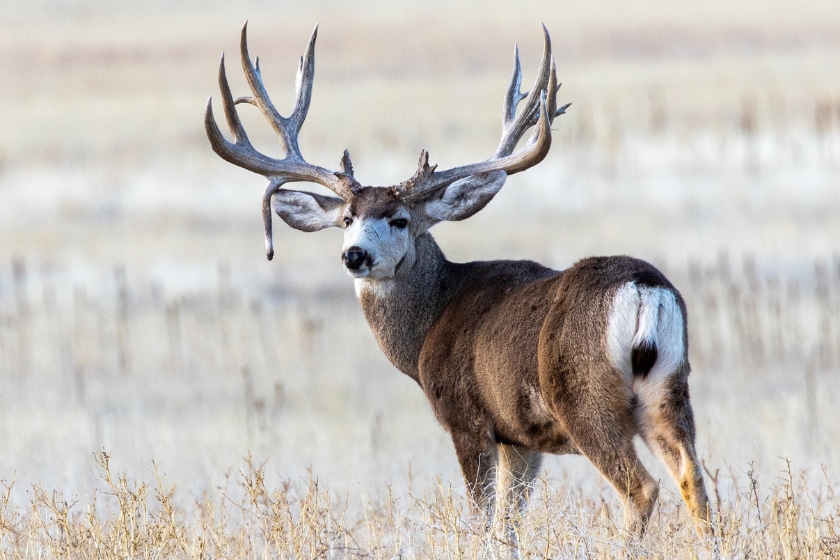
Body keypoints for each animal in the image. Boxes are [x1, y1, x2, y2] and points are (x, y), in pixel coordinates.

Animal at [203, 24, 708, 544]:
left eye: (401, 220)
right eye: (346, 219)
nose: (354, 255)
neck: (430, 323)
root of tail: (644, 290)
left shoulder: (468, 419)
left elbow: (481, 519)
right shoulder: (521, 439)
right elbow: (508, 523)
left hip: (585, 397)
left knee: (641, 488)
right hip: (670, 388)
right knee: (694, 480)